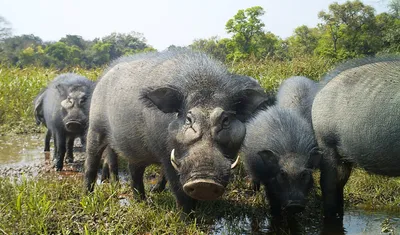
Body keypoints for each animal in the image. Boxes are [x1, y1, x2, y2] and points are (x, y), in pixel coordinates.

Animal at [83, 50, 268, 213]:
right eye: (188, 119)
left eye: (225, 120)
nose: (204, 182)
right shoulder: (166, 155)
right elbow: (177, 186)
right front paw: (187, 216)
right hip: (95, 128)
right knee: (91, 162)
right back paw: (88, 196)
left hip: (135, 150)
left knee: (134, 170)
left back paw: (143, 201)